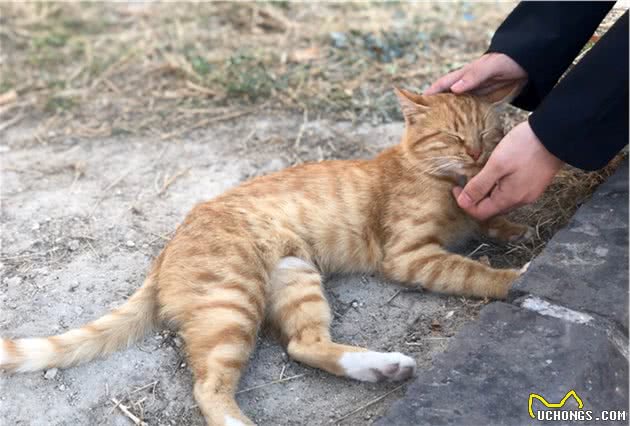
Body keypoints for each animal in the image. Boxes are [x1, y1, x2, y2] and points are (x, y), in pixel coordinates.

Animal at [0, 85, 532, 424]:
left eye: (487, 134)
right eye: (453, 136)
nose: (477, 155)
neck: (443, 180)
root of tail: (165, 250)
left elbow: (492, 225)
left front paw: (517, 229)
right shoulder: (409, 255)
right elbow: (471, 272)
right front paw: (517, 275)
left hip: (295, 276)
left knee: (303, 345)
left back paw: (382, 367)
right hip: (232, 302)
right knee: (210, 388)